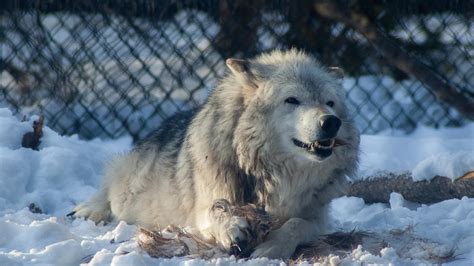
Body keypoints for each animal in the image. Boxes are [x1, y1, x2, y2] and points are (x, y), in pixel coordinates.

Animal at [72, 49, 360, 258]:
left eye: (330, 103)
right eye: (292, 100)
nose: (331, 121)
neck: (274, 173)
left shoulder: (317, 217)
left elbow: (295, 225)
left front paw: (272, 247)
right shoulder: (203, 207)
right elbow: (216, 211)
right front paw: (231, 228)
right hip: (127, 195)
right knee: (108, 190)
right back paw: (88, 210)